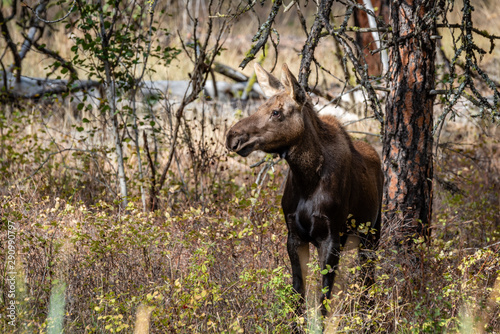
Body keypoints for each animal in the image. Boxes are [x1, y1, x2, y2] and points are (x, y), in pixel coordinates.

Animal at [226, 63, 382, 324]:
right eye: (260, 106)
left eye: (276, 112)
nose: (232, 136)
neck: (306, 179)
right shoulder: (294, 235)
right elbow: (298, 292)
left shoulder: (329, 236)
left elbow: (324, 297)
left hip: (371, 233)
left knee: (368, 280)